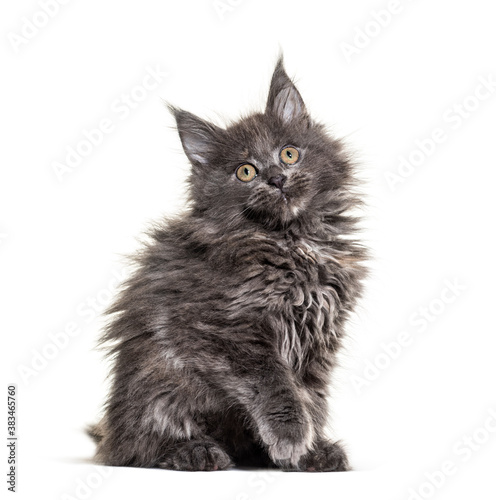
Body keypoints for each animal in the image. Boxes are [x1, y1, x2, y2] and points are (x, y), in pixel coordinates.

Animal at [89, 56, 366, 470]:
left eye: (288, 153)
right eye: (245, 171)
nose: (276, 178)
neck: (293, 239)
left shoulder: (320, 336)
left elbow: (311, 398)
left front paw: (309, 452)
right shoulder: (225, 327)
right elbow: (274, 384)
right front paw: (291, 437)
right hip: (159, 384)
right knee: (139, 447)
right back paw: (194, 451)